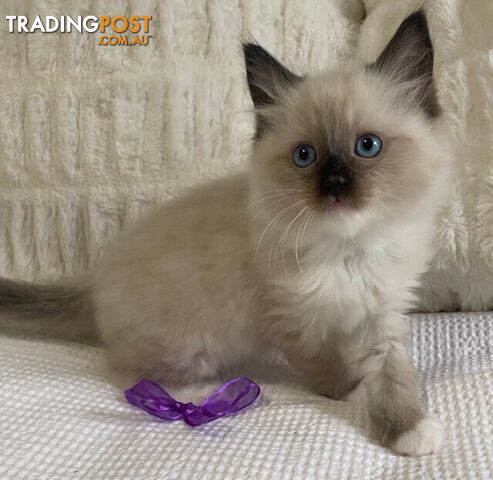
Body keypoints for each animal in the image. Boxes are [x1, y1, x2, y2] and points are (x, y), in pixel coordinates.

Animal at [0, 10, 450, 454]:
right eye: (305, 156)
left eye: (368, 146)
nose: (335, 184)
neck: (346, 249)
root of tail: (95, 277)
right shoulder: (287, 317)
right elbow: (322, 362)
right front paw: (347, 387)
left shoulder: (380, 313)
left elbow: (392, 375)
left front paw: (409, 430)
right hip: (190, 348)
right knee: (121, 368)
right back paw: (190, 390)